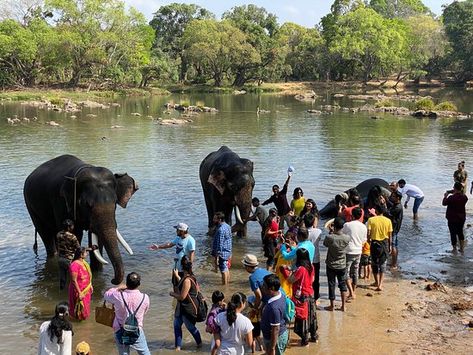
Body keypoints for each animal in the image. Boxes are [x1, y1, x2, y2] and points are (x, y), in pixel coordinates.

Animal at [23, 154, 137, 286]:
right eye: (87, 205)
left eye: (115, 204)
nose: (113, 280)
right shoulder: (60, 202)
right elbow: (75, 234)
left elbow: (96, 237)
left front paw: (97, 272)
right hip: (30, 206)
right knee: (46, 235)